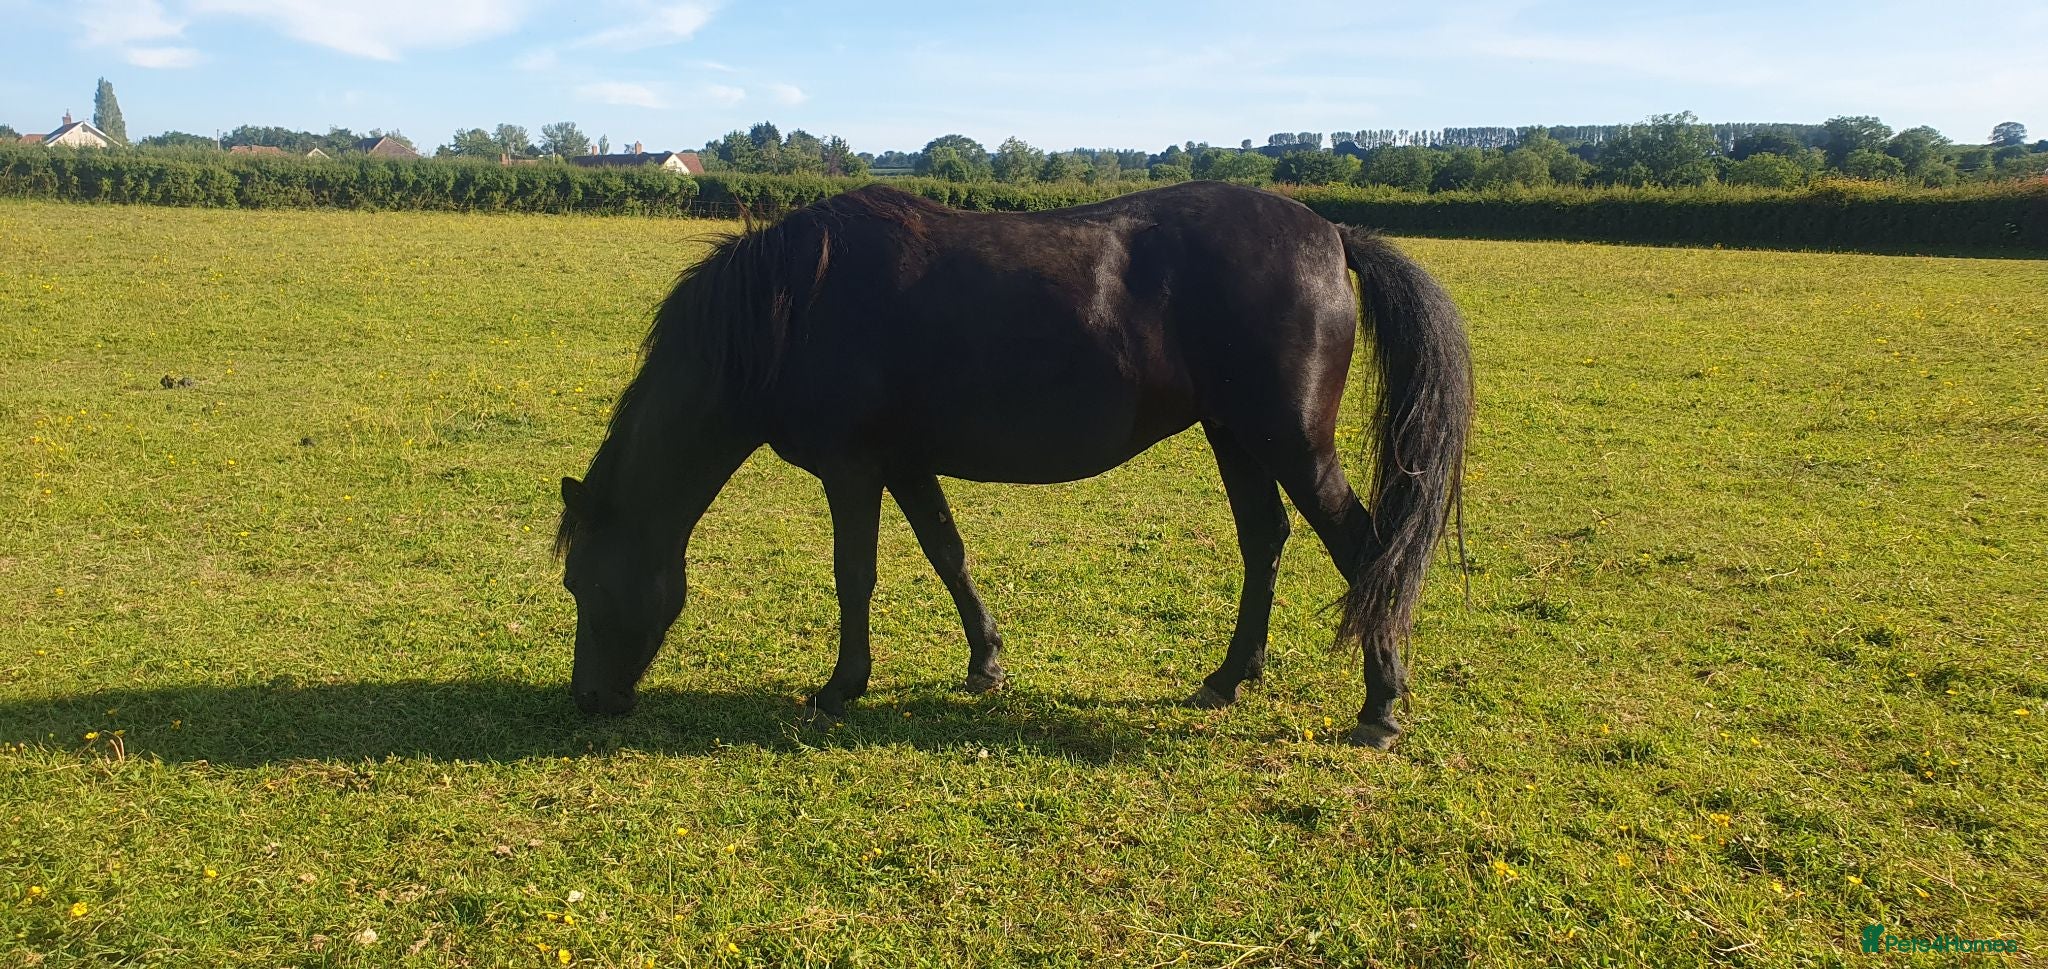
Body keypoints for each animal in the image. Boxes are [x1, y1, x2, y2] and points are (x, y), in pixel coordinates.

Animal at [554, 180, 1472, 749]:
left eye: (581, 582)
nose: (587, 699)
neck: (789, 309)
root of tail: (1330, 233)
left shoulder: (853, 468)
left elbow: (856, 574)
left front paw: (841, 686)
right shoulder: (905, 462)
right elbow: (947, 553)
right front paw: (985, 663)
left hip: (1290, 442)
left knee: (1365, 550)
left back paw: (1380, 707)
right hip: (1234, 435)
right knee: (1265, 541)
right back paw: (1227, 677)